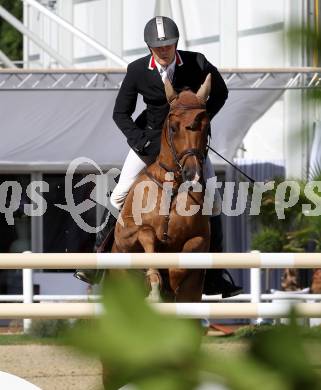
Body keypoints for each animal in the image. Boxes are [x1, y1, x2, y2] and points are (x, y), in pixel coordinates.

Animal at [111, 74, 211, 304]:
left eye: (207, 128)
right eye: (173, 128)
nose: (193, 174)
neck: (172, 186)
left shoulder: (200, 240)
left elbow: (181, 261)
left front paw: (169, 286)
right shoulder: (126, 238)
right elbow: (147, 235)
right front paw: (156, 288)